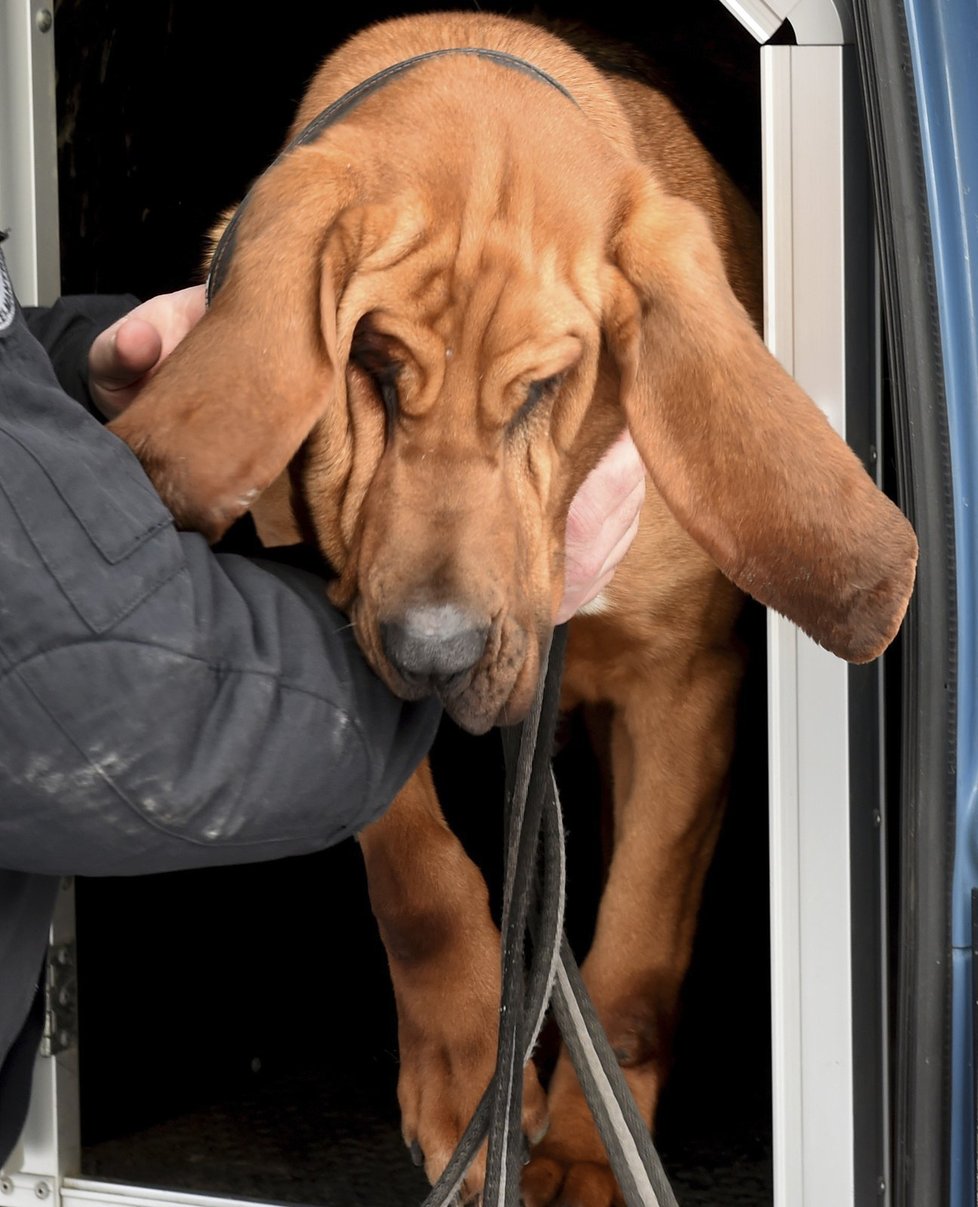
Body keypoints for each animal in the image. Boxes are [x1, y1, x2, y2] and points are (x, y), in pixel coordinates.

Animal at [110, 11, 917, 1207]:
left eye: (544, 386)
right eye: (373, 362)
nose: (436, 649)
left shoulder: (684, 692)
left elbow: (631, 951)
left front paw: (589, 1149)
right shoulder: (342, 645)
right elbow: (419, 878)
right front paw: (467, 1085)